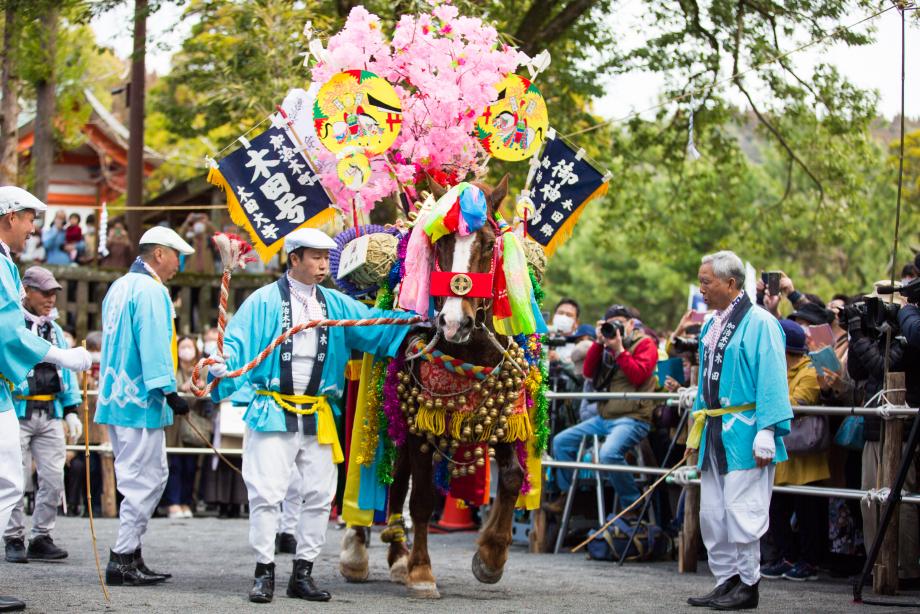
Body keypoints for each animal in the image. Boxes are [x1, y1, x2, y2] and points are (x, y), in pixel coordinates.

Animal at [342, 174, 548, 600]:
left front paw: (491, 557)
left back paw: (397, 556)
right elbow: (421, 499)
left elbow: (512, 477)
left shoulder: (503, 413)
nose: (455, 321)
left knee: (397, 477)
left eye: (487, 243)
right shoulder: (421, 423)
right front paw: (422, 572)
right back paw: (360, 552)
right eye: (441, 243)